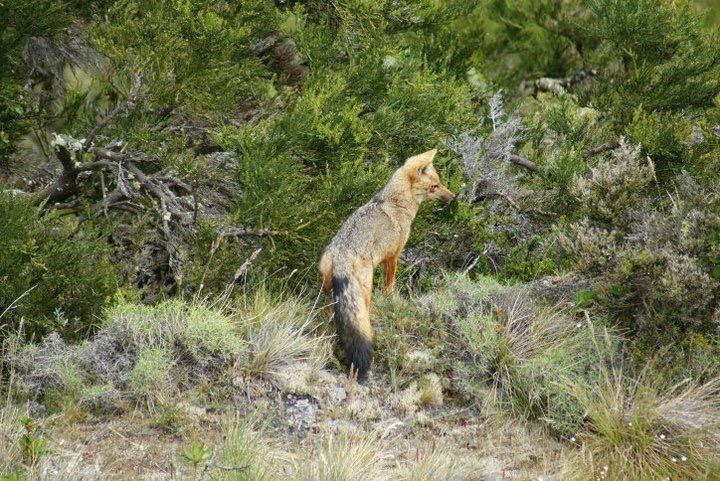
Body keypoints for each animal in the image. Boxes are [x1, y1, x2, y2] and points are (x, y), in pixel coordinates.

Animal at [322, 148, 456, 376]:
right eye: (435, 186)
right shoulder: (393, 257)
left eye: (439, 182)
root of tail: (341, 251)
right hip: (365, 287)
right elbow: (390, 286)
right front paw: (392, 300)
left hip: (328, 286)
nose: (453, 197)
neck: (397, 202)